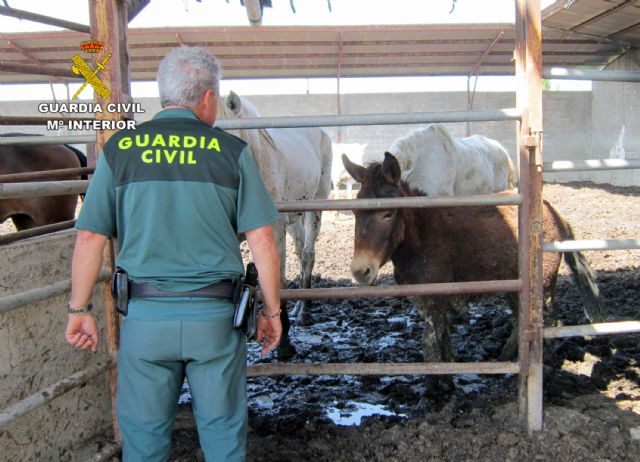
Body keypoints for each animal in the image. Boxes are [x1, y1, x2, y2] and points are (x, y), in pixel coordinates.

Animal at [218, 92, 332, 352]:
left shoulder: (274, 230)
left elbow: (277, 281)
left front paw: (284, 344)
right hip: (294, 220)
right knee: (301, 253)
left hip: (315, 206)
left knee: (308, 254)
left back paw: (304, 313)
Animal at [340, 154, 604, 390]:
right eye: (354, 212)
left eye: (388, 213)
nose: (360, 271)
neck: (421, 238)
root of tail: (552, 212)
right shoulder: (428, 303)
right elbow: (443, 340)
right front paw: (448, 380)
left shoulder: (434, 301)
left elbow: (430, 346)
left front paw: (436, 395)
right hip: (514, 284)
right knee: (520, 320)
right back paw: (505, 360)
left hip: (544, 284)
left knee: (549, 321)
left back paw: (544, 369)